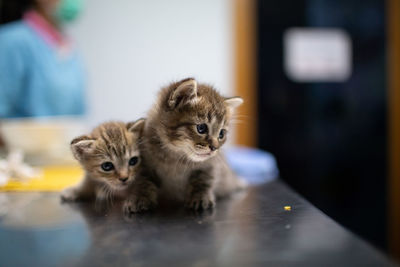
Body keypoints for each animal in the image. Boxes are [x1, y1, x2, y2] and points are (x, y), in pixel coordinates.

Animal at [141, 78, 247, 211]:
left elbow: (204, 180)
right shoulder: (145, 161)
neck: (175, 157)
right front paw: (140, 198)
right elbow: (144, 181)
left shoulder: (211, 165)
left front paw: (201, 198)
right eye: (201, 128)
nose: (214, 148)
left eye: (221, 133)